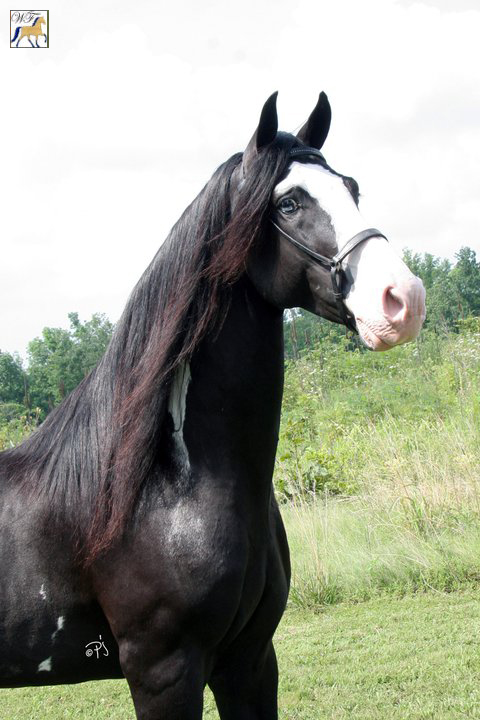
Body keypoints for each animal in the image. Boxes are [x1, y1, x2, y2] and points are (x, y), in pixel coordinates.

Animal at [0, 93, 428, 716]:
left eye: (351, 187)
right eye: (289, 202)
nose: (404, 299)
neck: (162, 488)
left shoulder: (248, 660)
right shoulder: (164, 672)